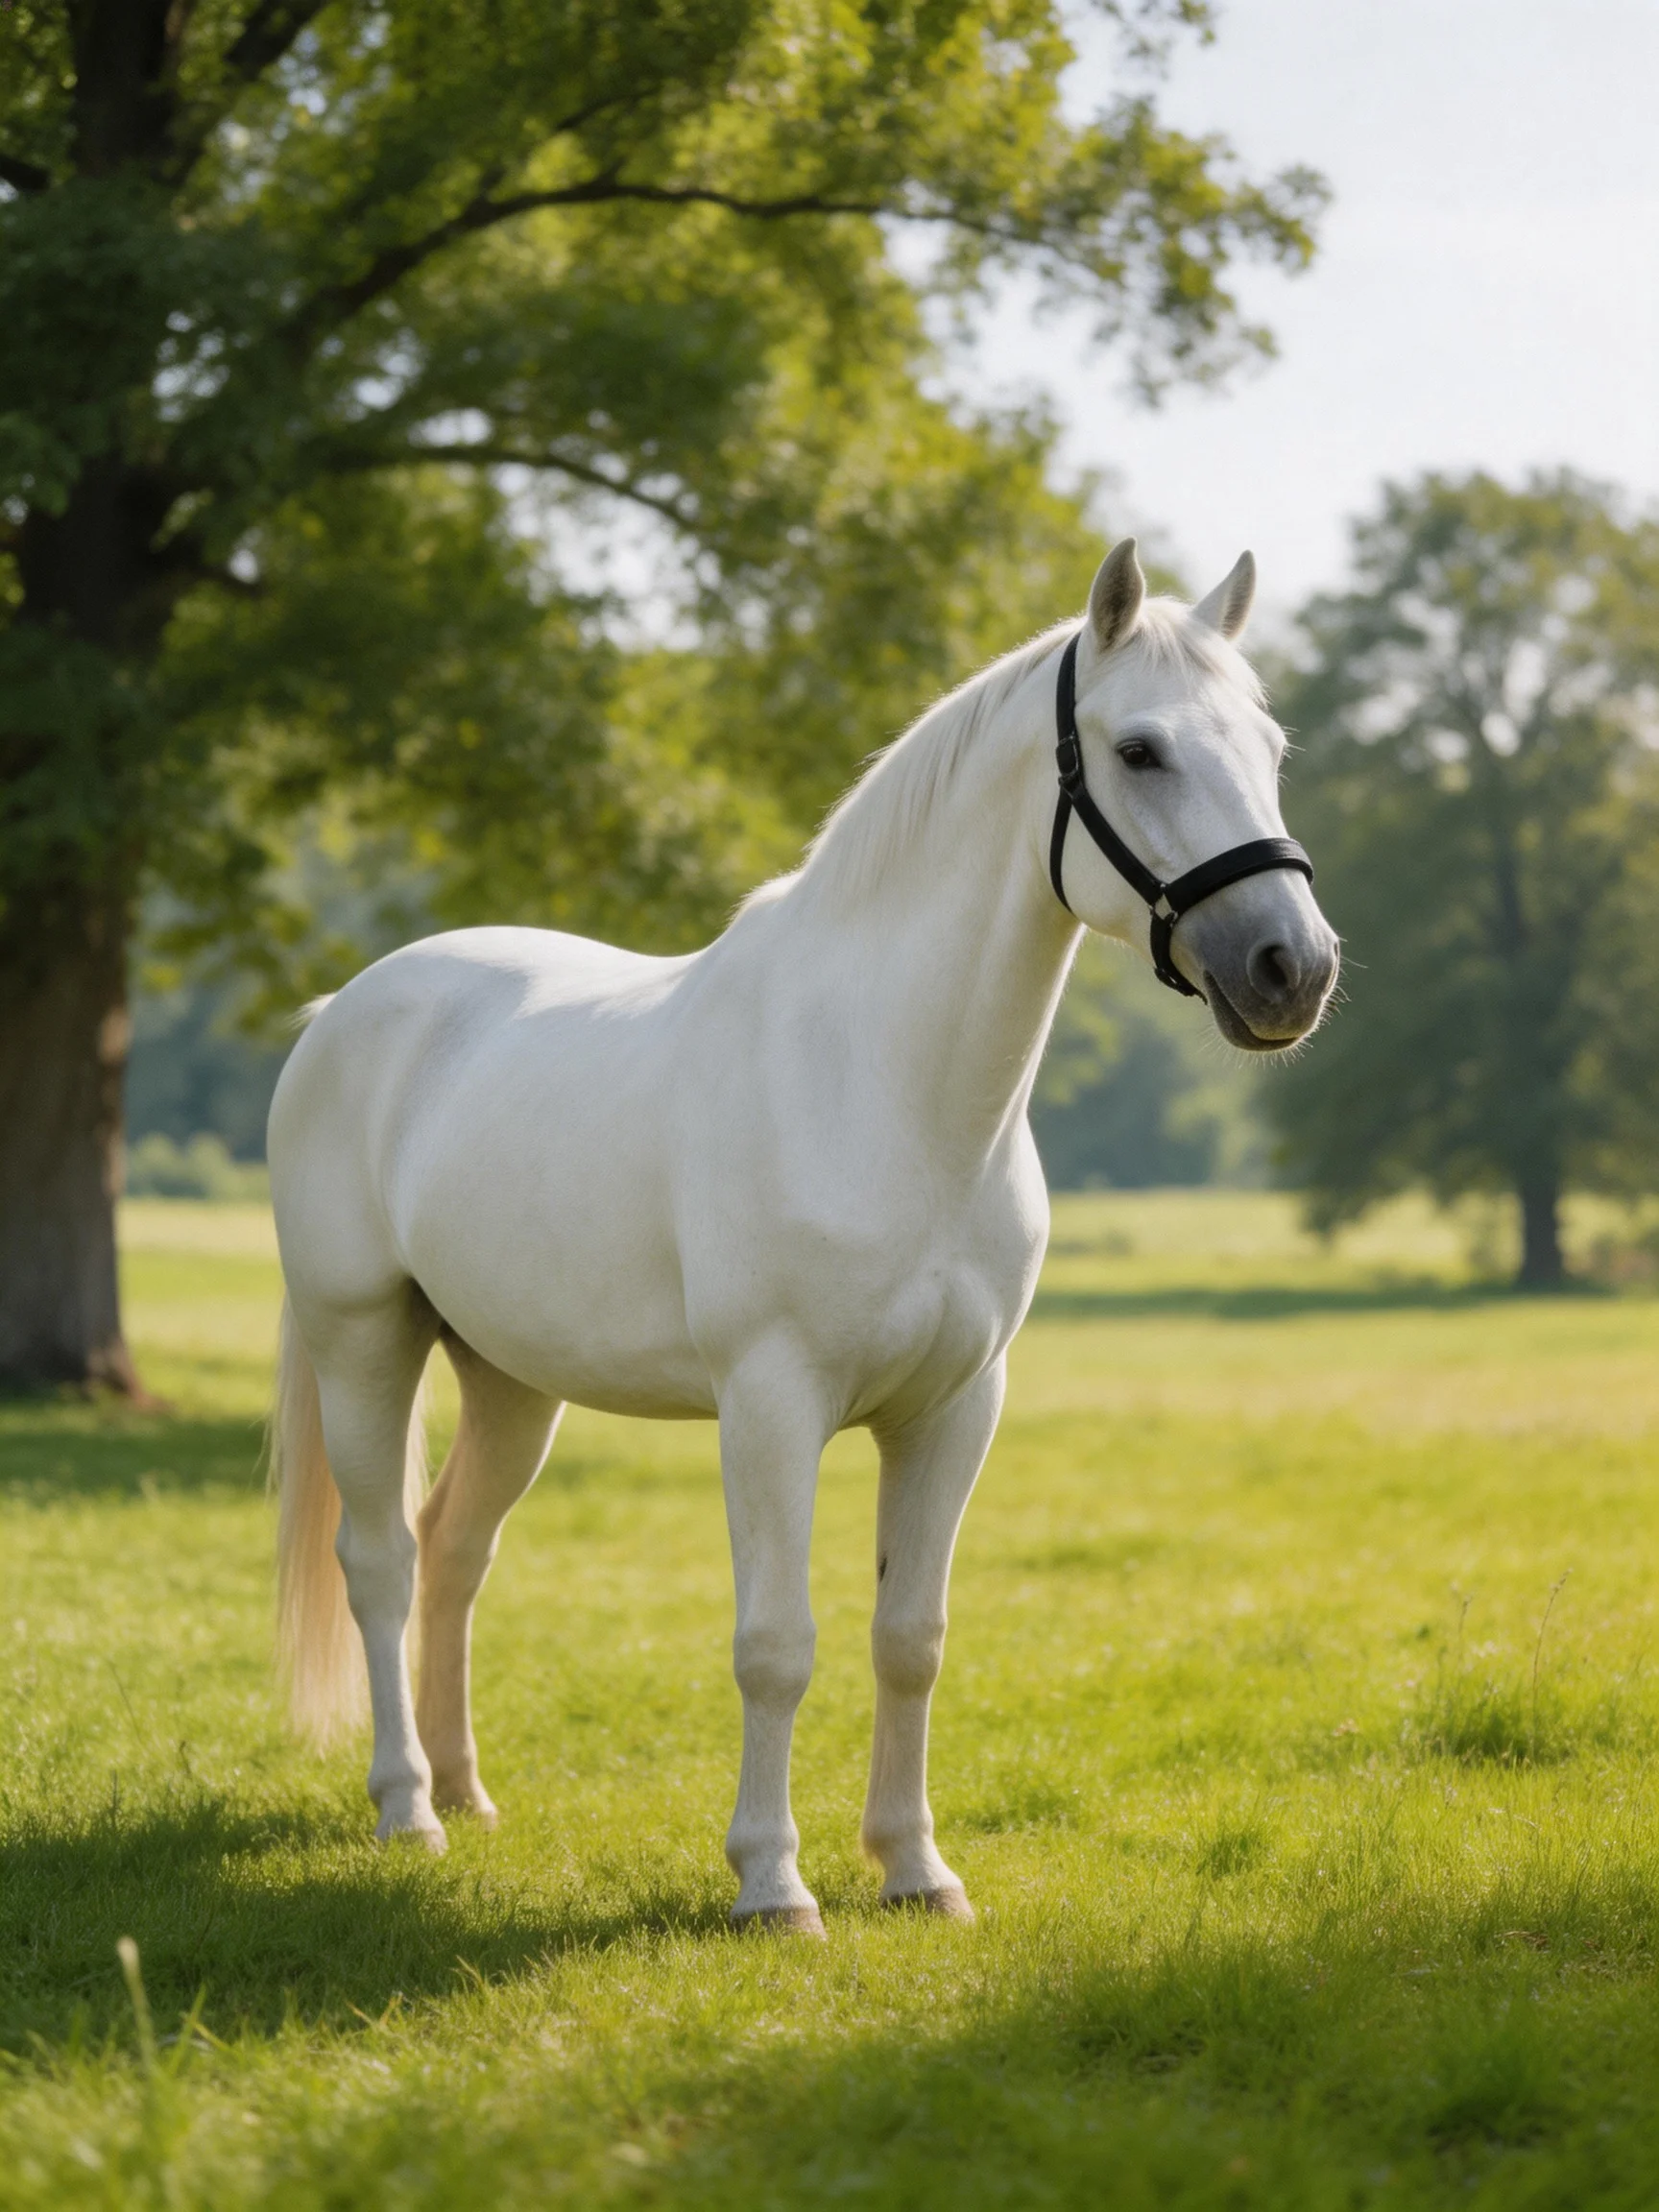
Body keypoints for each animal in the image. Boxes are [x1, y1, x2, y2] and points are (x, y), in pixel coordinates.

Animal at [267, 538, 1338, 1933]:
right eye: (1141, 750)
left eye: (1269, 744)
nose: (1292, 969)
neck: (885, 1086)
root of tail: (344, 1009)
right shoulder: (771, 1405)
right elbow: (776, 1646)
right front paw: (773, 1886)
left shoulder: (955, 1407)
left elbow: (909, 1638)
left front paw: (914, 1869)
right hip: (364, 1344)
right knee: (383, 1560)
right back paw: (408, 1811)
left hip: (508, 1378)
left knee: (457, 1553)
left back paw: (468, 1792)